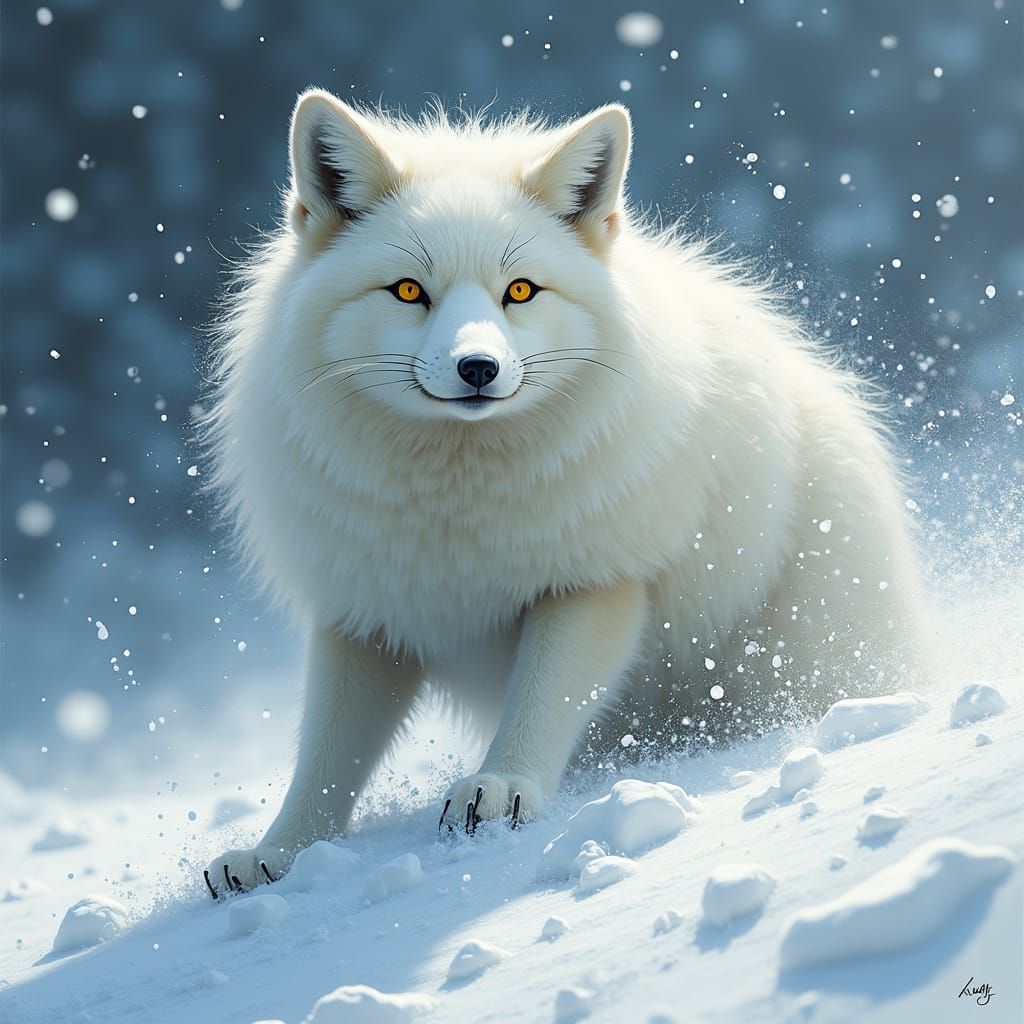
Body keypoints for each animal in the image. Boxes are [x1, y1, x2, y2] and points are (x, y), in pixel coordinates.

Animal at [202, 88, 922, 893]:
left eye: (520, 291)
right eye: (409, 291)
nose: (478, 367)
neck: (457, 507)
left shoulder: (593, 582)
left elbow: (544, 699)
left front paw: (500, 787)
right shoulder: (367, 616)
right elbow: (324, 759)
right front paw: (279, 853)